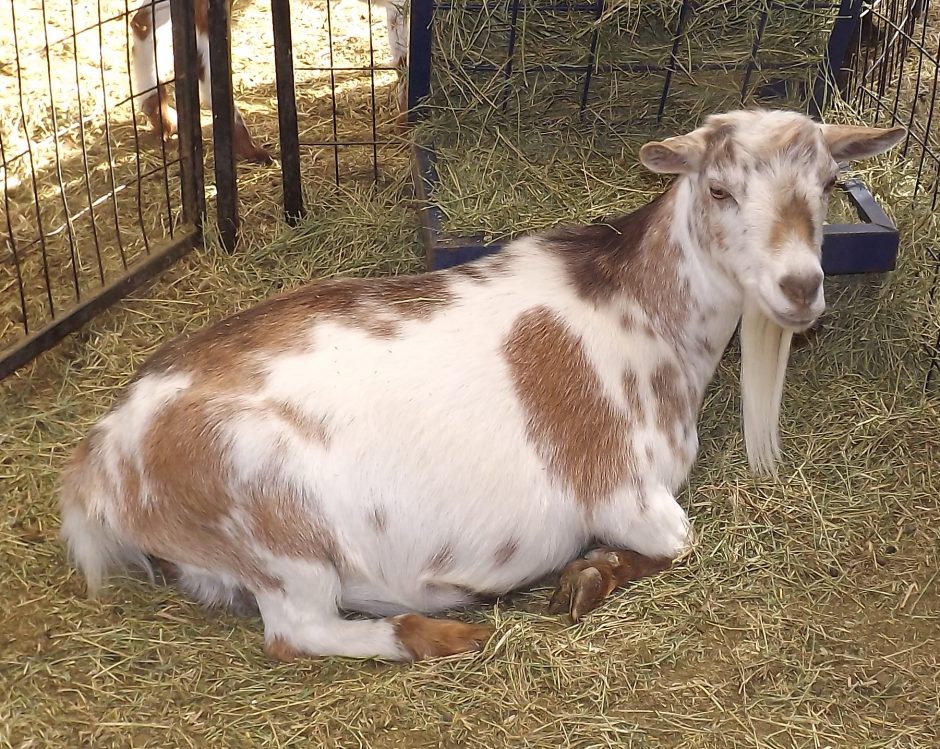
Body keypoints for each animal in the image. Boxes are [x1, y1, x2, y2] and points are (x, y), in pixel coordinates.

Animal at [59, 109, 904, 662]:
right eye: (721, 189)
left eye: (829, 181)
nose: (800, 288)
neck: (642, 312)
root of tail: (100, 463)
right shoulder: (625, 492)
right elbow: (679, 543)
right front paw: (583, 578)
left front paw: (583, 579)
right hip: (279, 528)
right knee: (295, 633)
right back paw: (446, 630)